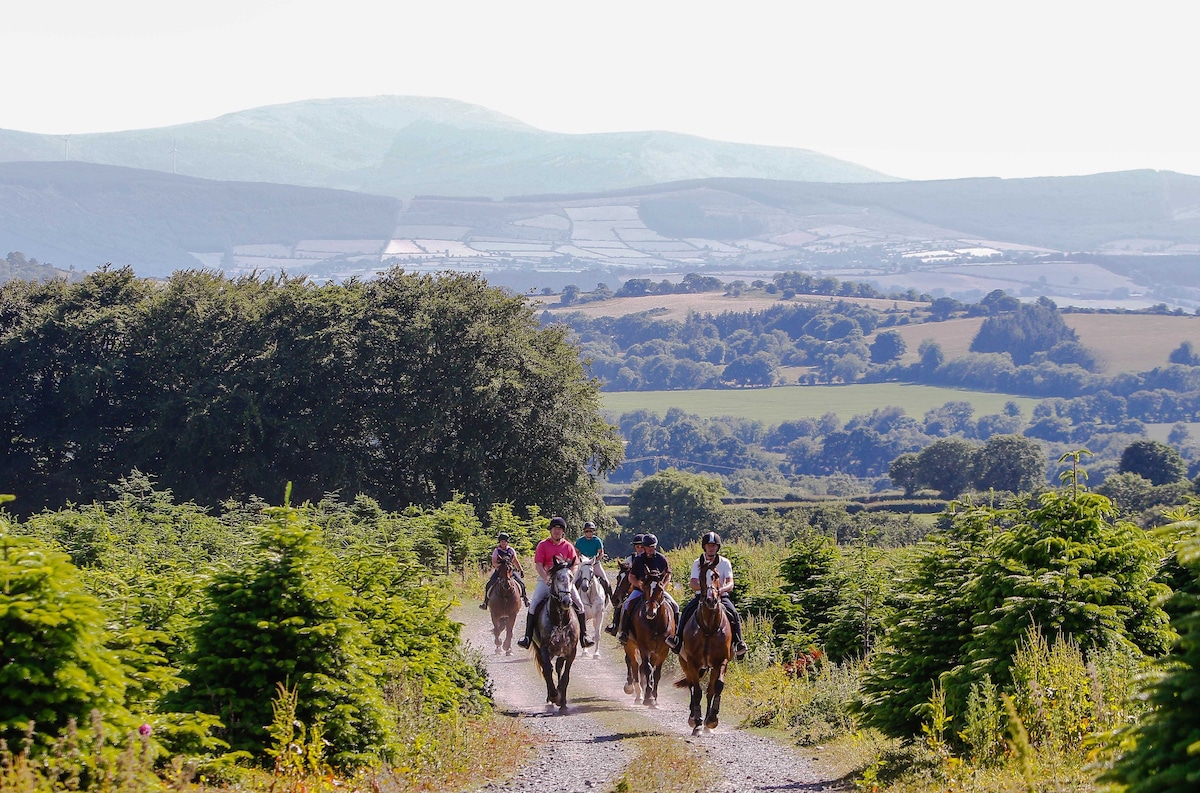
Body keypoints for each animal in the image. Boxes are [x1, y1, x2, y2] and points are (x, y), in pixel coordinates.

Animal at [532, 556, 578, 710]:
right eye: (558, 578)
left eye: (571, 577)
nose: (566, 601)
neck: (560, 621)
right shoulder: (544, 649)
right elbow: (547, 670)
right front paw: (553, 696)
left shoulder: (571, 651)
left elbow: (565, 676)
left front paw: (562, 701)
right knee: (547, 669)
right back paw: (550, 700)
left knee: (558, 668)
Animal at [628, 566, 676, 710]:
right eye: (645, 587)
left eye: (660, 589)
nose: (650, 612)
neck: (655, 624)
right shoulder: (644, 648)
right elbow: (647, 668)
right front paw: (649, 698)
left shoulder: (663, 649)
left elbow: (656, 672)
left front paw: (654, 698)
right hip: (630, 644)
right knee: (635, 665)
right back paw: (638, 695)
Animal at [676, 554, 729, 734]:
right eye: (700, 577)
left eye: (716, 576)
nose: (711, 600)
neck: (708, 628)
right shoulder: (692, 662)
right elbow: (697, 691)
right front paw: (698, 723)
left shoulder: (721, 661)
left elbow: (716, 687)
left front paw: (711, 720)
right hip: (685, 662)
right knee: (692, 686)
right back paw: (693, 718)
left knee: (709, 690)